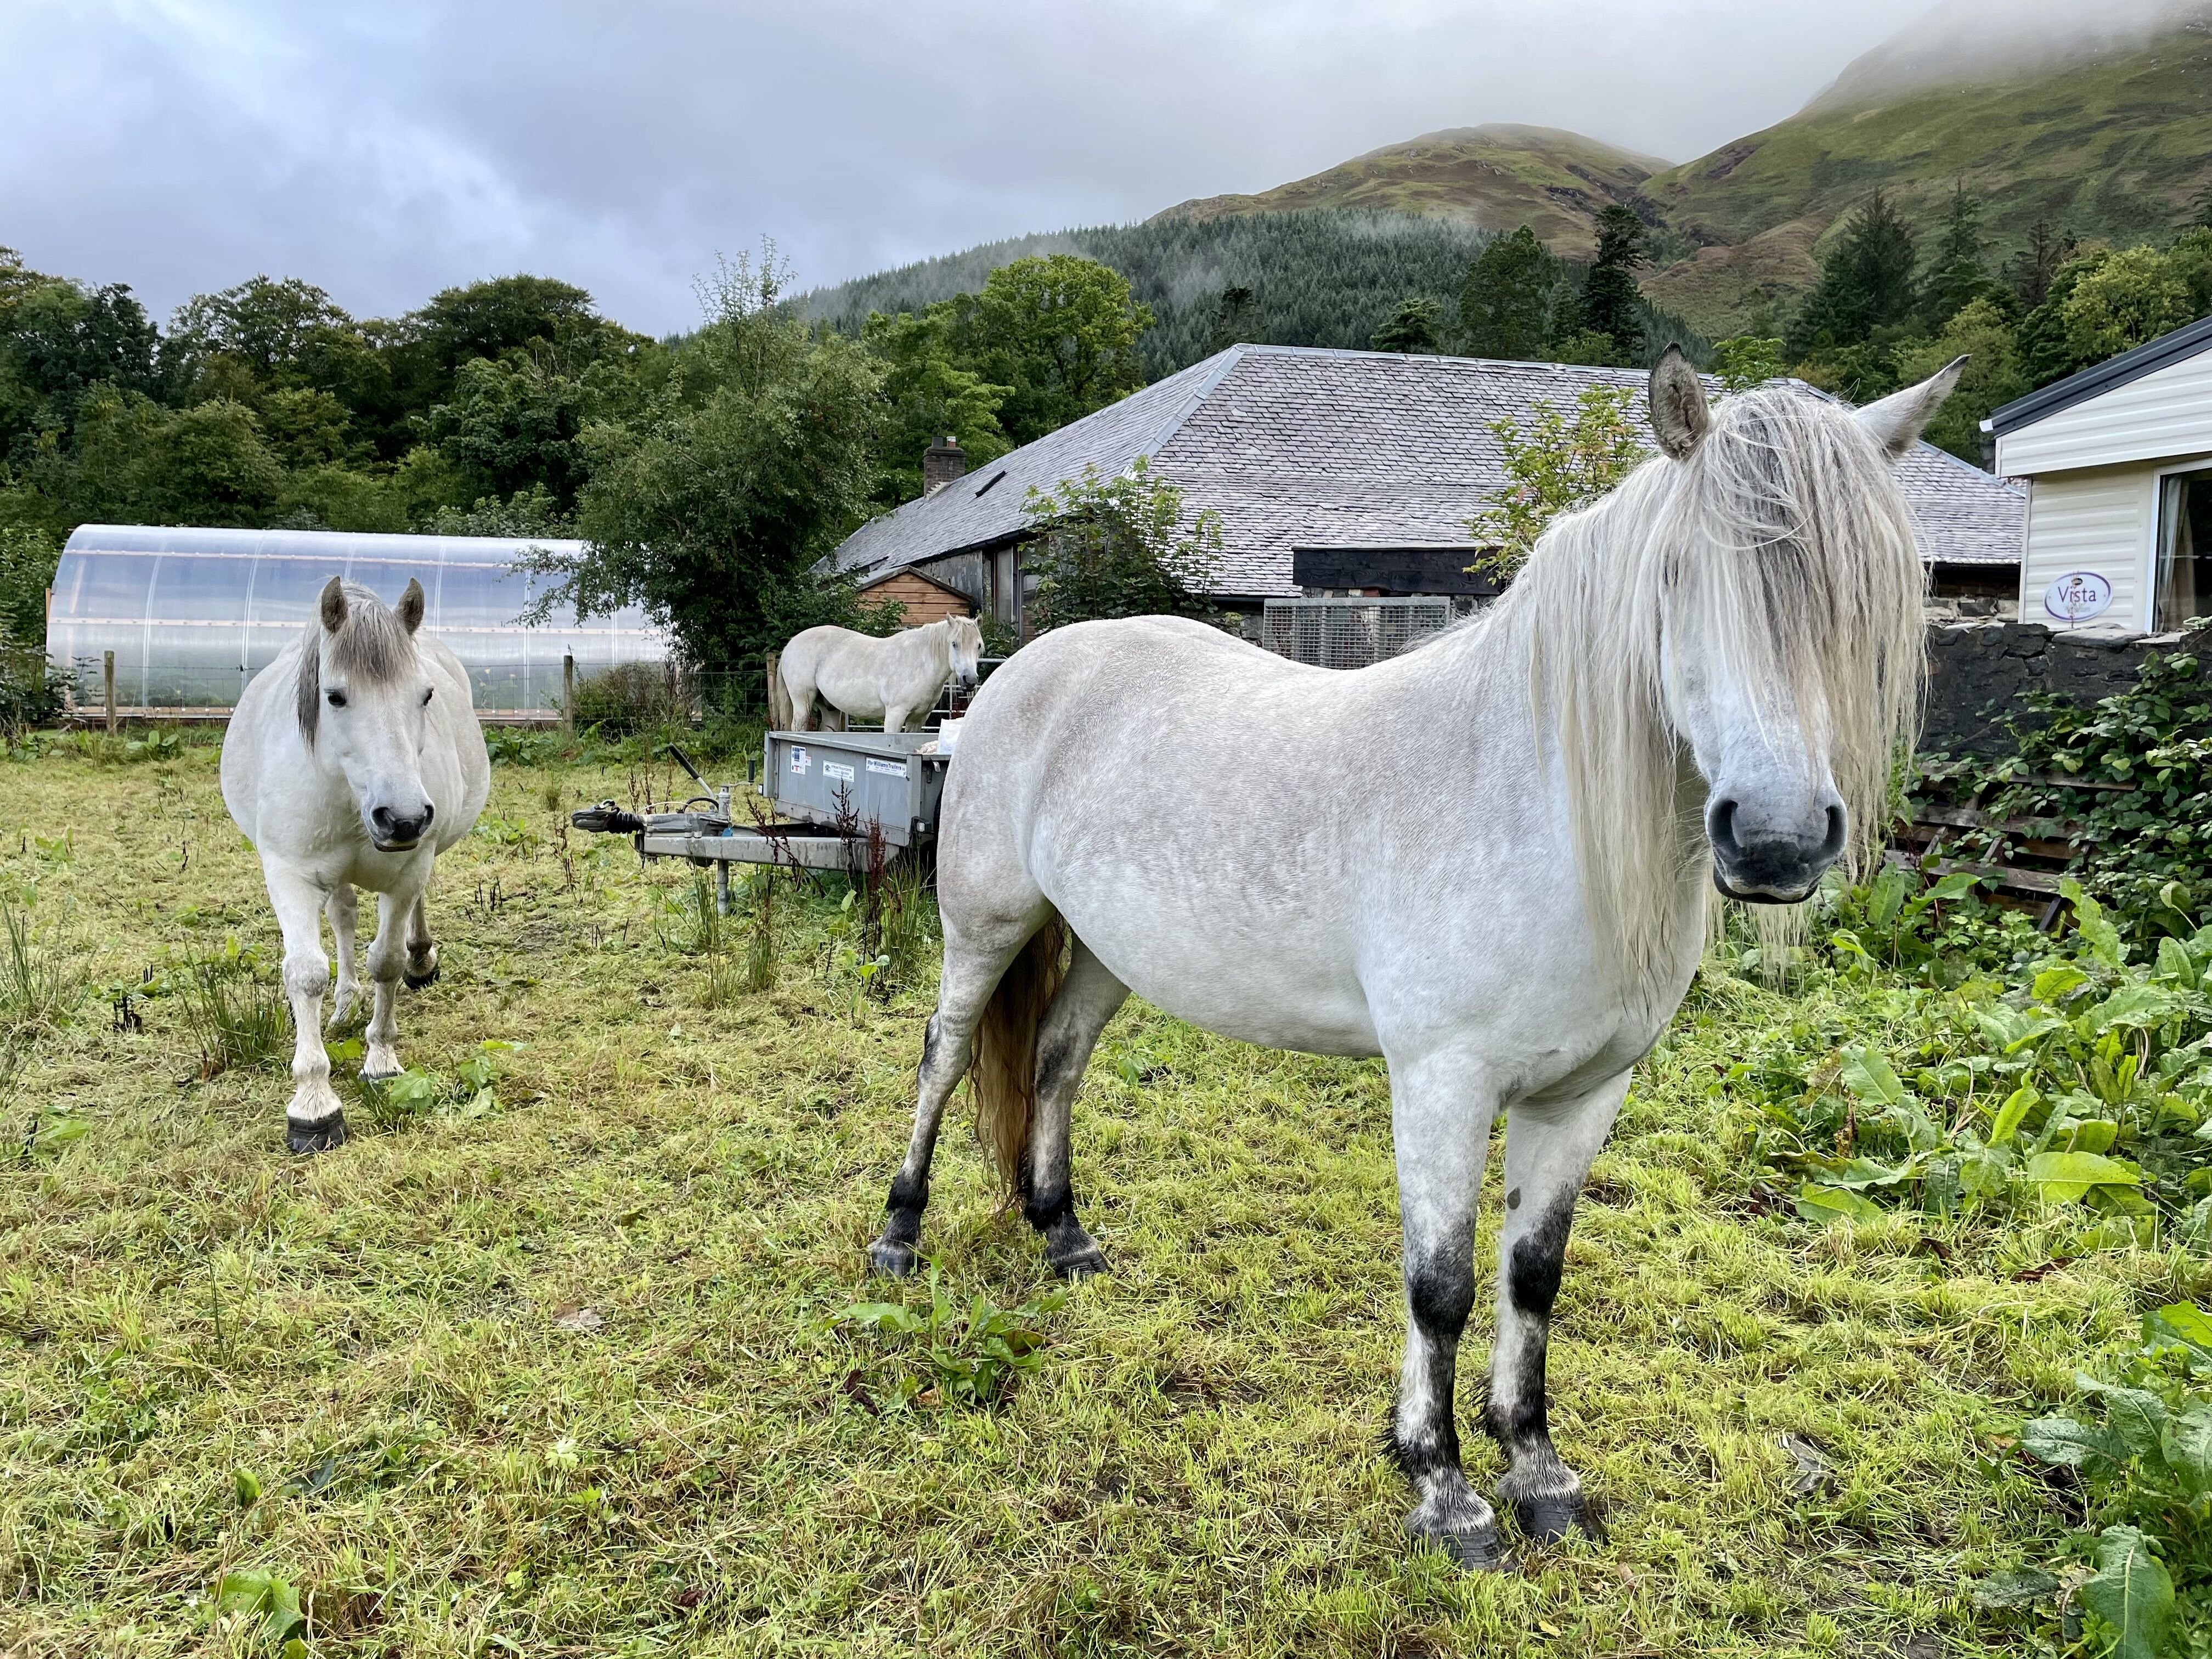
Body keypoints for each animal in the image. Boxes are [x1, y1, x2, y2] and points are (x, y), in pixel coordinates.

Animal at [220, 577, 491, 1153]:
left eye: (425, 695)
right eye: (335, 696)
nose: (403, 818)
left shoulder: (408, 869)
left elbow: (385, 961)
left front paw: (381, 1060)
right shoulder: (290, 875)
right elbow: (305, 974)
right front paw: (314, 1105)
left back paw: (420, 961)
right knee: (342, 919)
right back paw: (344, 1002)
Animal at [777, 615, 983, 733]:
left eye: (979, 646)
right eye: (954, 644)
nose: (970, 680)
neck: (921, 662)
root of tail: (790, 645)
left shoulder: (918, 720)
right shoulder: (895, 715)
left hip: (830, 708)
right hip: (803, 703)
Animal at [866, 349, 1962, 1568]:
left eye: (1859, 601)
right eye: (1679, 578)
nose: (1773, 841)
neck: (1538, 804)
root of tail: (1024, 671)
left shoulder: (1585, 1092)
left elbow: (1534, 1275)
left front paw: (1536, 1467)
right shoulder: (1442, 1083)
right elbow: (1439, 1285)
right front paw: (1443, 1487)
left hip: (1110, 950)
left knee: (1055, 1060)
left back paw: (1063, 1234)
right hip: (985, 921)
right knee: (945, 1054)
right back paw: (899, 1236)